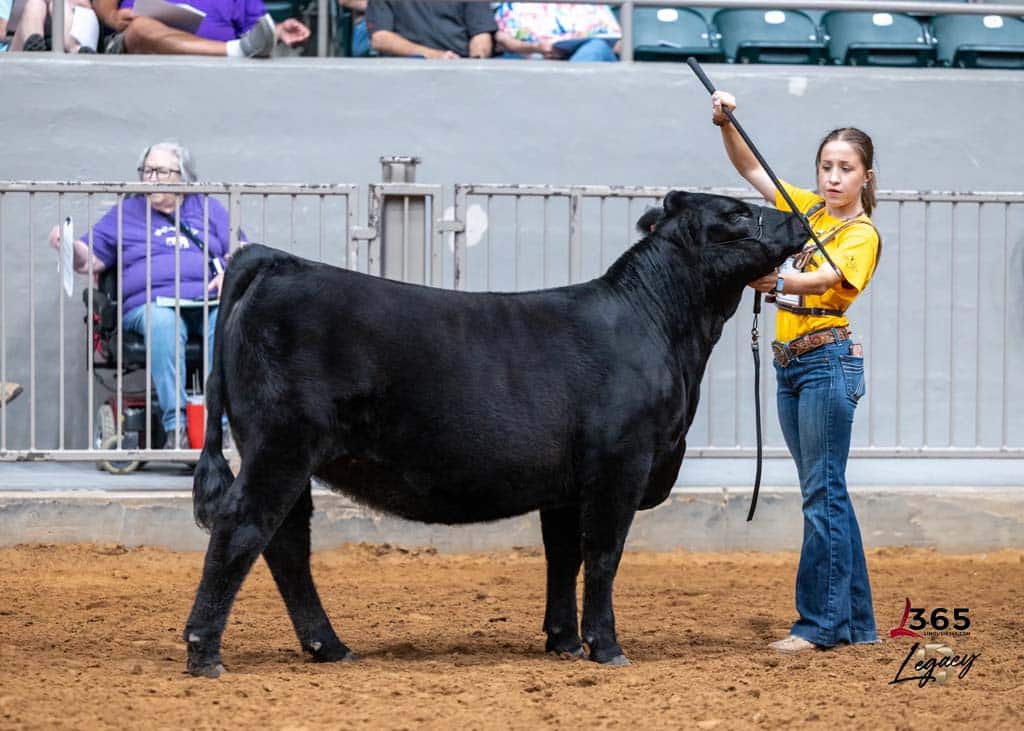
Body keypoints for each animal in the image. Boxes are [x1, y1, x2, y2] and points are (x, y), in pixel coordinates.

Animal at [184, 190, 805, 677]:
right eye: (736, 213)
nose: (800, 218)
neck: (662, 326)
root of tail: (275, 260)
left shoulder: (566, 486)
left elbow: (564, 556)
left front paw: (564, 641)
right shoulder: (620, 465)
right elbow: (603, 553)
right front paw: (605, 647)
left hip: (290, 455)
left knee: (286, 542)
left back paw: (329, 647)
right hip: (281, 446)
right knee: (244, 527)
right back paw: (204, 652)